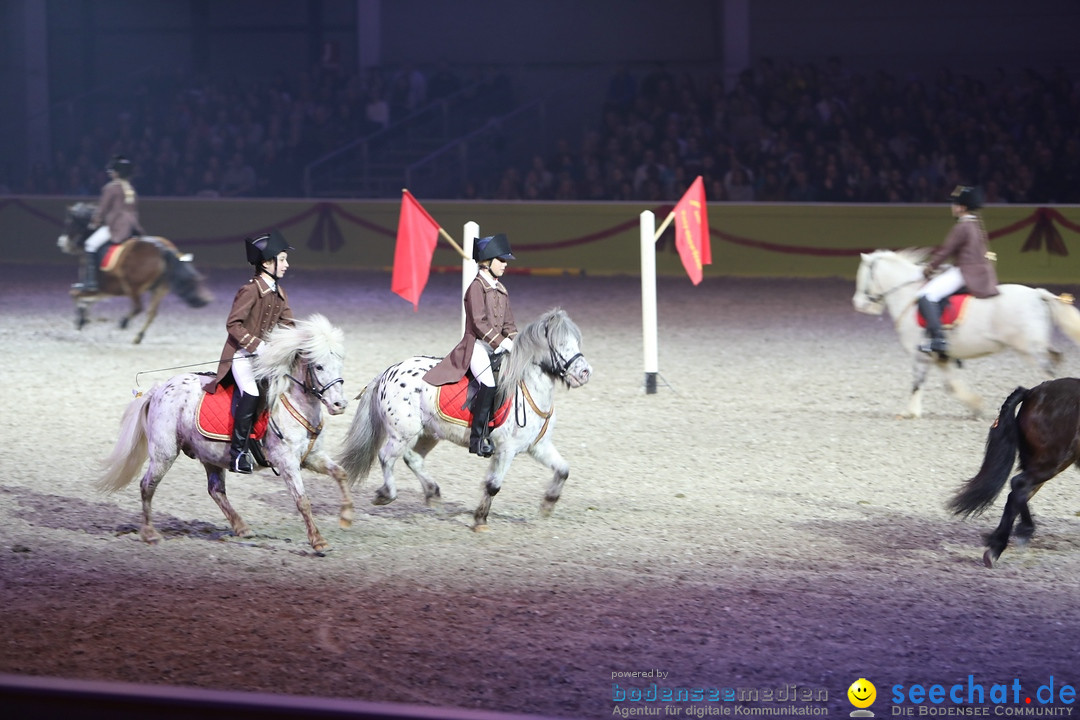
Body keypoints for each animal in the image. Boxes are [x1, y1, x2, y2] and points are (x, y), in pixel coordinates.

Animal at [56, 201, 212, 345]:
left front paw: (81, 320)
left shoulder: (97, 288)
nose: (62, 244)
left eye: (69, 222)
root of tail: (161, 248)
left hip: (133, 287)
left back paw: (123, 322)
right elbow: (87, 300)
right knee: (151, 313)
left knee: (138, 308)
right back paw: (138, 336)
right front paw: (82, 318)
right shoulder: (103, 290)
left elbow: (75, 295)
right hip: (159, 289)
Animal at [95, 313, 349, 552]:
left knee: (215, 490)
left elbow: (340, 473)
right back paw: (150, 534)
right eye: (319, 366)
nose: (339, 405)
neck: (295, 404)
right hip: (164, 453)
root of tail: (159, 389)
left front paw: (346, 517)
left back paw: (242, 528)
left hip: (210, 453)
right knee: (147, 485)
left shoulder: (313, 457)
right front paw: (319, 542)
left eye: (339, 364)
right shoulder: (286, 462)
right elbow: (302, 500)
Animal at [334, 306, 591, 533]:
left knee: (413, 458)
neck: (528, 389)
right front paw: (480, 521)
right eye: (560, 345)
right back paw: (386, 495)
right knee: (386, 457)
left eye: (577, 342)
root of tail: (388, 372)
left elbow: (563, 470)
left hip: (427, 433)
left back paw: (433, 495)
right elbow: (493, 486)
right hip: (402, 434)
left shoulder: (538, 446)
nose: (585, 373)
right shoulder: (505, 450)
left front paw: (548, 504)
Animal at [851, 248, 1080, 416]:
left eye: (863, 277)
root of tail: (1037, 294)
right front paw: (976, 406)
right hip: (1034, 345)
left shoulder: (920, 355)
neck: (909, 295)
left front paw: (910, 413)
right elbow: (951, 386)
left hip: (1028, 348)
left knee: (1048, 369)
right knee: (1055, 360)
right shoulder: (940, 357)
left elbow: (917, 382)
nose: (858, 304)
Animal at [946, 377, 1080, 569]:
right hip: (1053, 461)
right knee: (1019, 486)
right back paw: (1021, 533)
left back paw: (996, 547)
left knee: (1017, 494)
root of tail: (1032, 392)